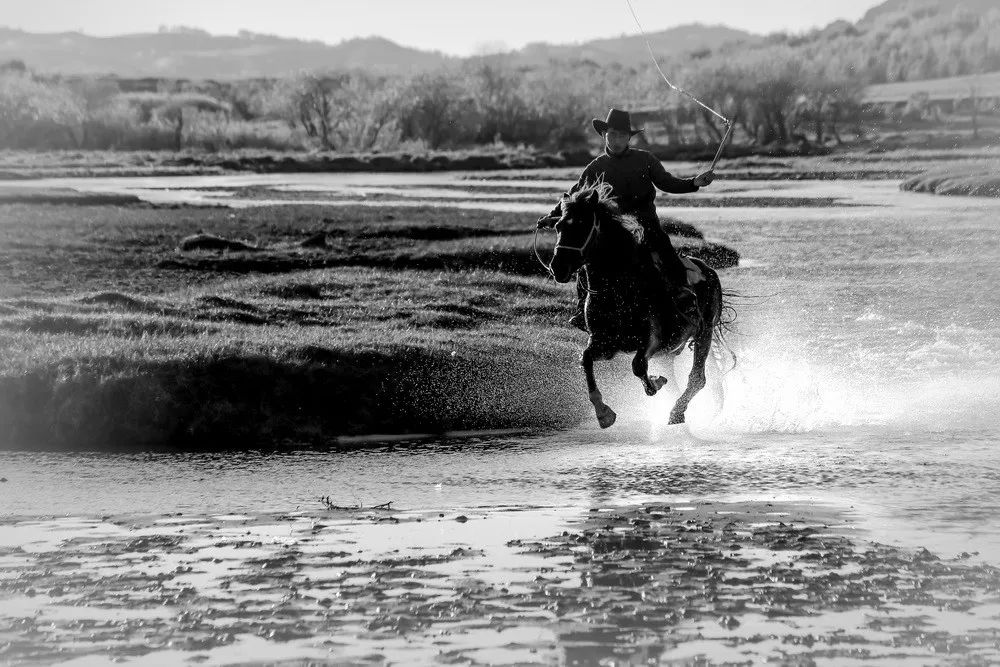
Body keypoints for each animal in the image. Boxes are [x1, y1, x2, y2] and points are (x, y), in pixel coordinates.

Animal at [548, 180, 728, 428]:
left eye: (582, 225)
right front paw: (604, 414)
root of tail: (708, 269)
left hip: (704, 333)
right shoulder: (606, 343)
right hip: (669, 351)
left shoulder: (651, 339)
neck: (618, 290)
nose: (558, 268)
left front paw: (654, 382)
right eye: (558, 226)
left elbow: (638, 366)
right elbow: (586, 359)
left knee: (697, 378)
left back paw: (676, 412)